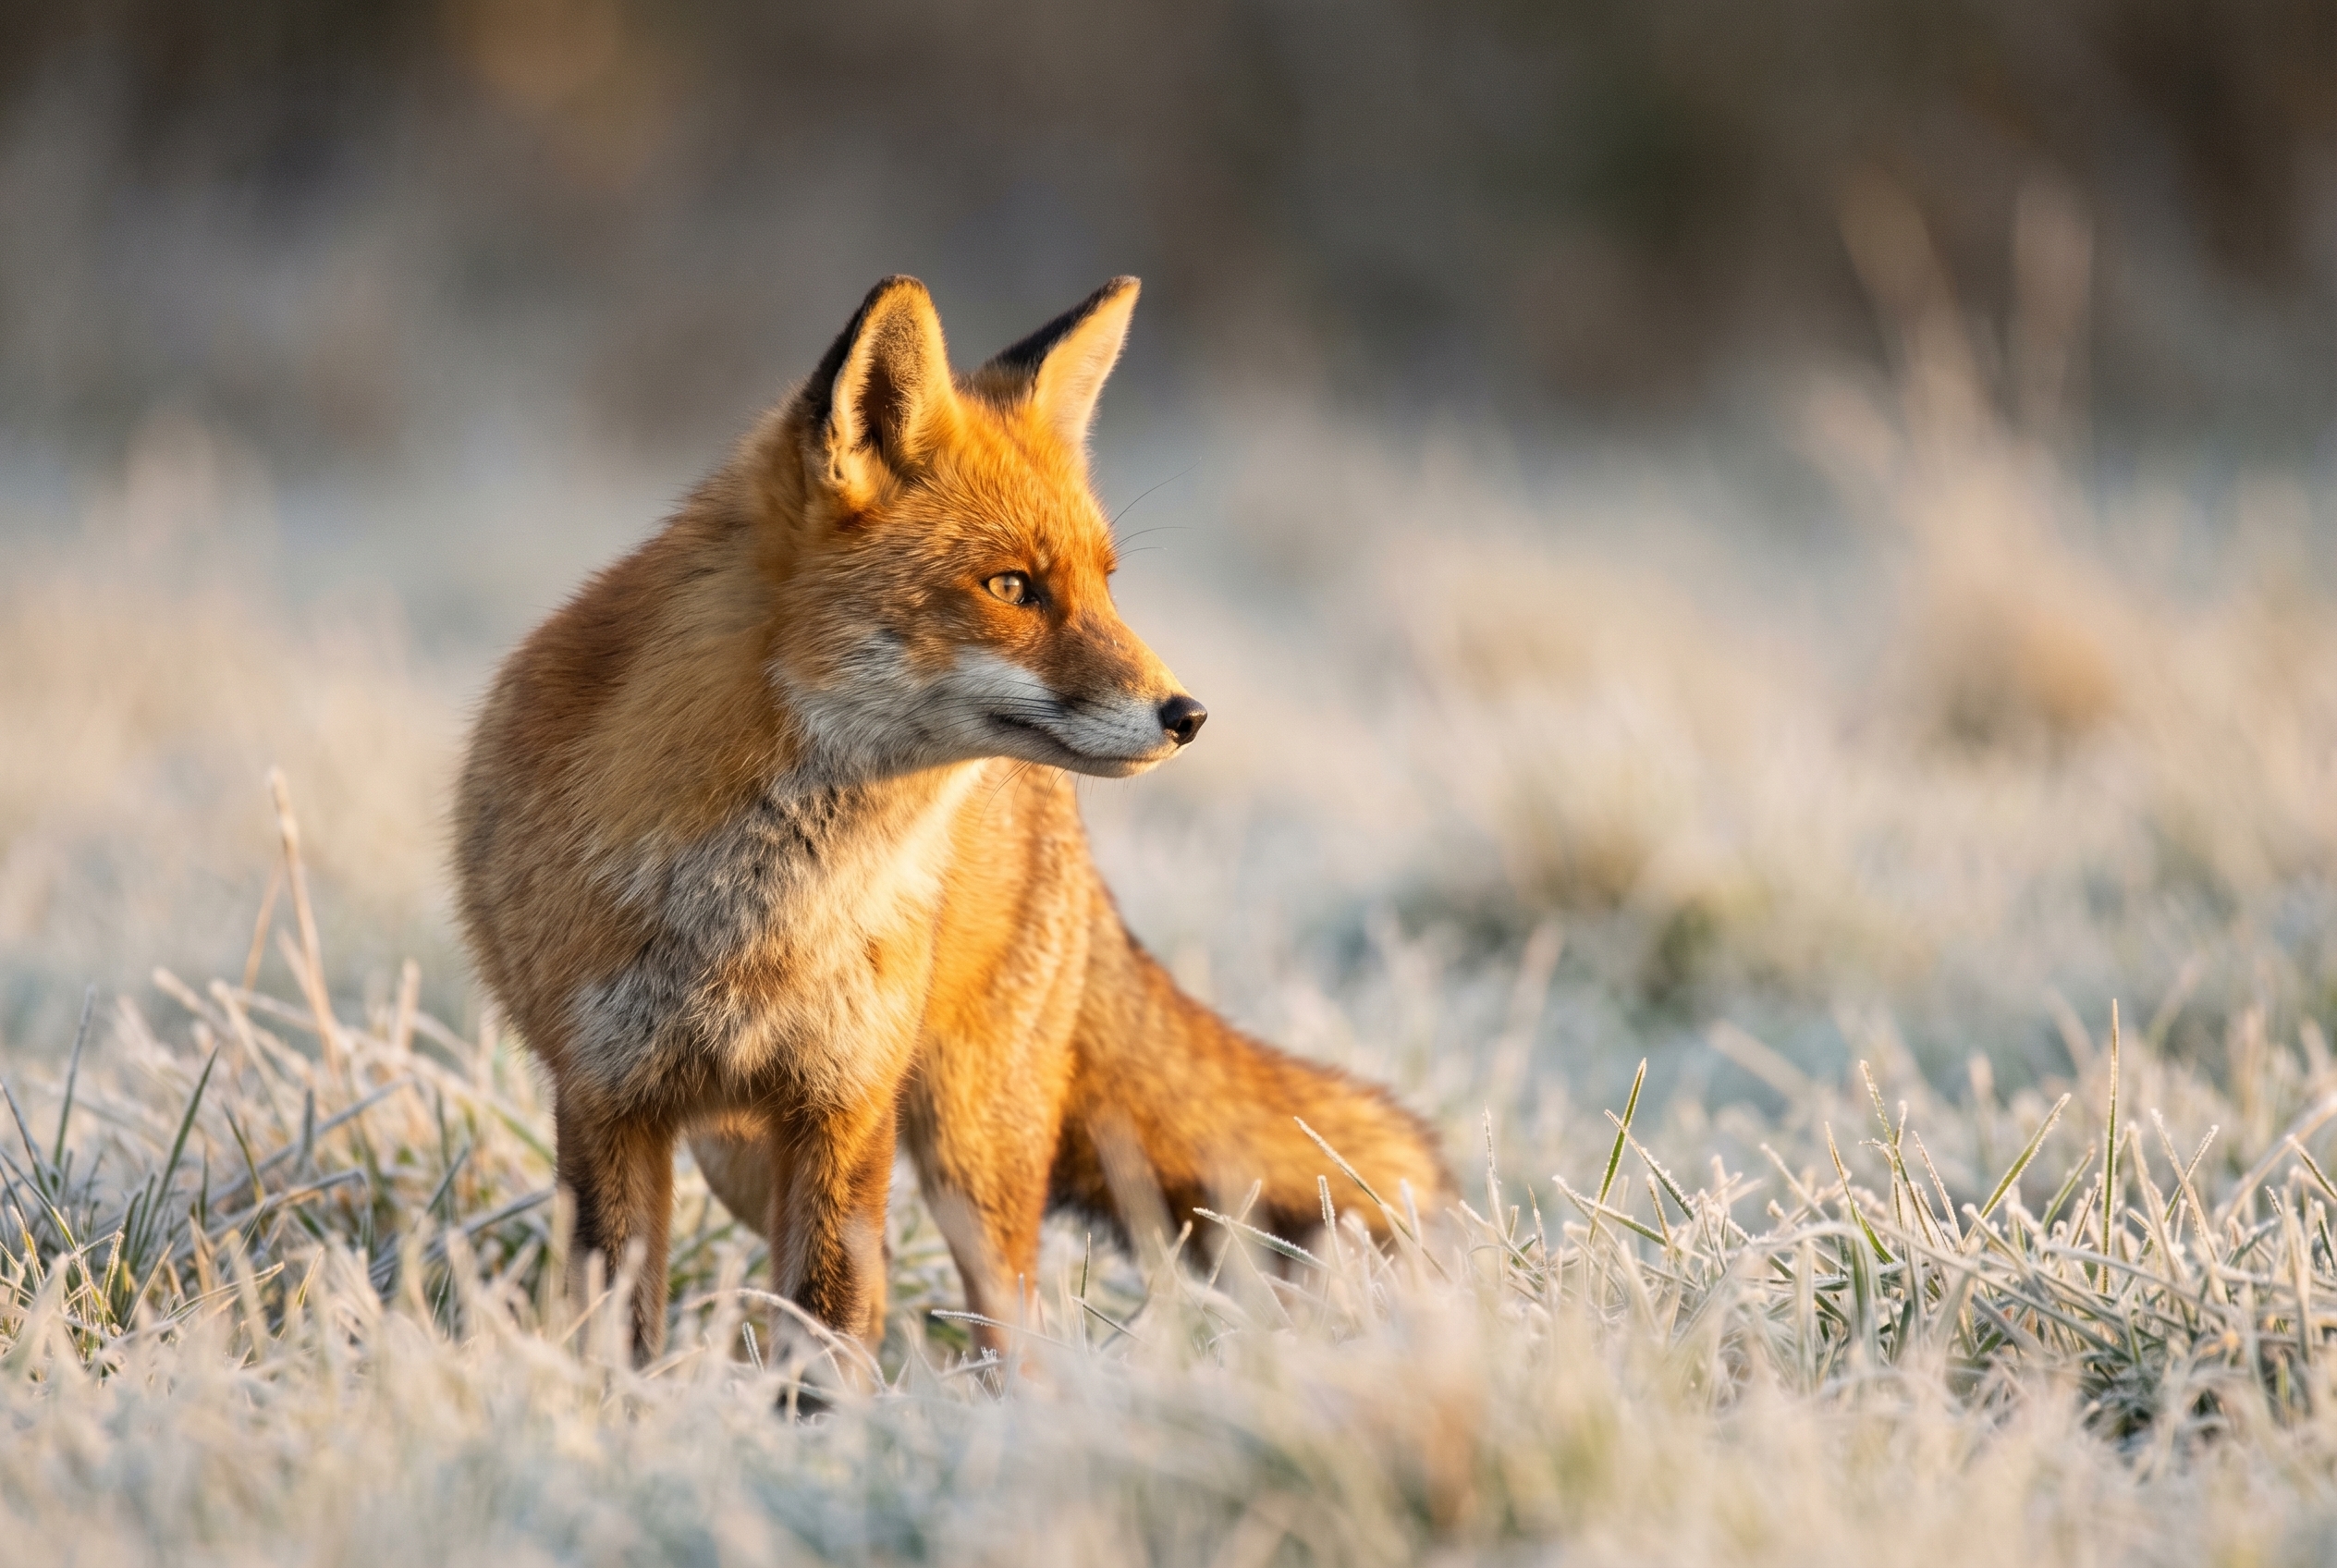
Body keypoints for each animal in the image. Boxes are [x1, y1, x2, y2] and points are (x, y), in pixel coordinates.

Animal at [454, 275, 1449, 1364]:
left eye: (1105, 582)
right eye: (1012, 586)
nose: (1187, 715)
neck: (752, 920)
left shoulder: (845, 1103)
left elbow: (830, 1317)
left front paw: (813, 1408)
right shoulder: (606, 1101)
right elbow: (620, 1322)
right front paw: (624, 1399)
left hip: (970, 1147)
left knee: (1002, 1309)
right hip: (741, 1152)